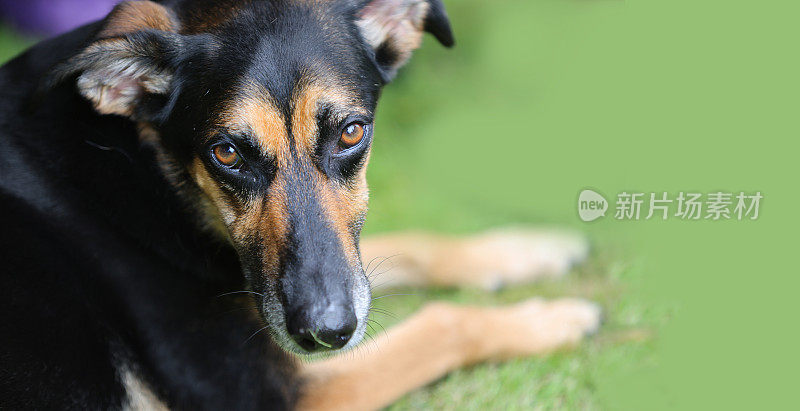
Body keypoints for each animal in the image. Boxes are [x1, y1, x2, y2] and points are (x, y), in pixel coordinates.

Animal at [0, 1, 600, 410]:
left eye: (352, 132)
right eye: (227, 153)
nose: (327, 331)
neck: (150, 177)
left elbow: (408, 247)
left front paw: (522, 249)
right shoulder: (283, 394)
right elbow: (443, 323)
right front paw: (552, 319)